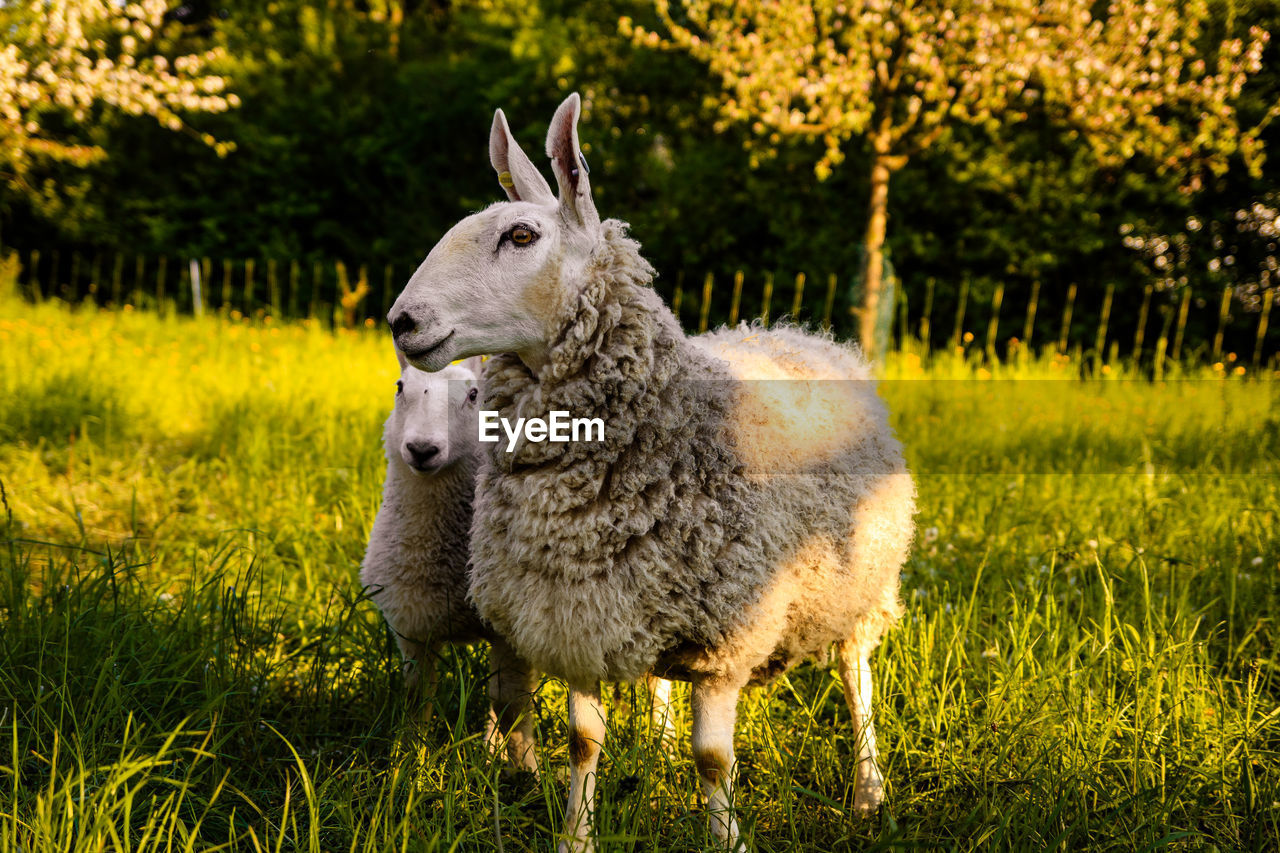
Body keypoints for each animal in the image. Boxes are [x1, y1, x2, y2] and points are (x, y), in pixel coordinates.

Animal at [384, 94, 916, 850]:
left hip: (862, 579)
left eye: (520, 235)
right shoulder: (578, 611)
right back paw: (663, 746)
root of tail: (798, 330)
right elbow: (583, 740)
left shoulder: (729, 628)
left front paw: (727, 837)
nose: (403, 321)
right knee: (665, 680)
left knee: (856, 675)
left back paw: (869, 788)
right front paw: (576, 836)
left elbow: (714, 756)